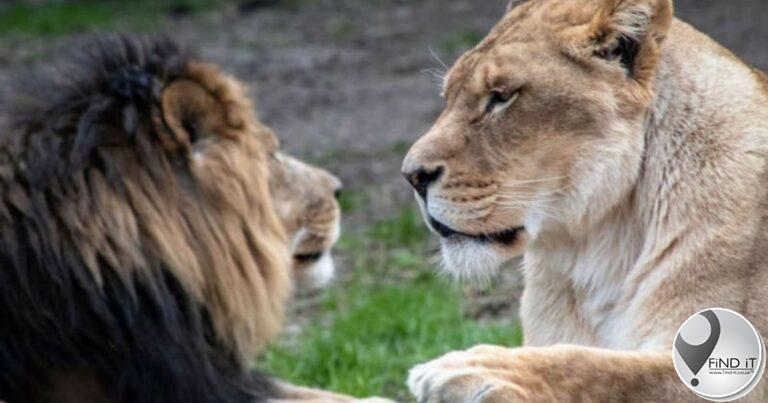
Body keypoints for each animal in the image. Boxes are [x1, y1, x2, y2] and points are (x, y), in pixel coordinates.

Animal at [402, 0, 768, 401]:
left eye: (501, 96)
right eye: (448, 98)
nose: (411, 175)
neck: (599, 251)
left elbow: (603, 369)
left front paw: (478, 367)